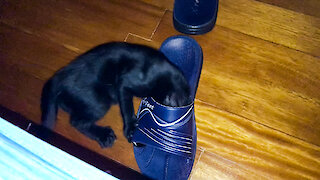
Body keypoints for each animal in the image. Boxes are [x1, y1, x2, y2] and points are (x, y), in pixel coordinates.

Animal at [39, 42, 190, 148]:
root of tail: (58, 77)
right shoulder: (125, 83)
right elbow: (127, 108)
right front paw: (130, 128)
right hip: (100, 102)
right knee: (77, 121)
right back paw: (104, 136)